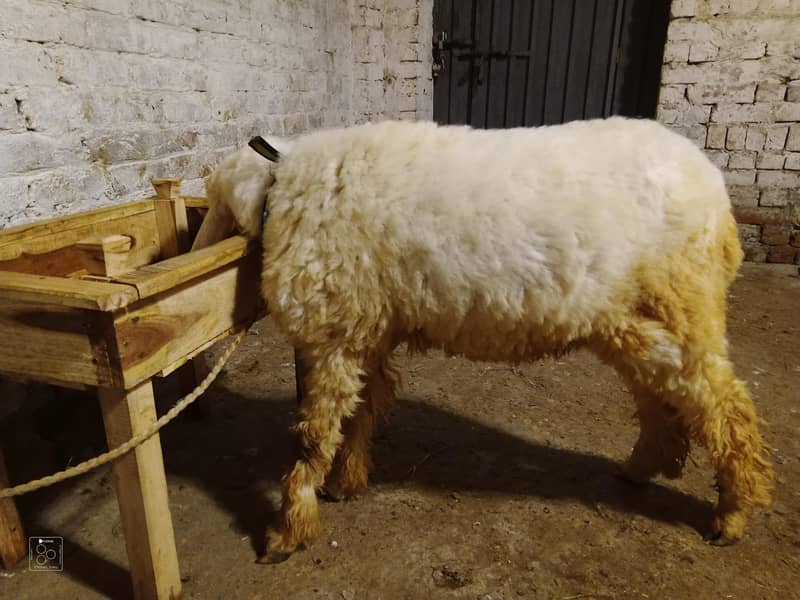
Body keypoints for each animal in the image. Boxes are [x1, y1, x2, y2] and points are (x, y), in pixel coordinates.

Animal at [196, 117, 773, 563]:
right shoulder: (368, 328)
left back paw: (732, 514)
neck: (282, 186)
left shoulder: (334, 332)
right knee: (664, 397)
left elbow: (314, 434)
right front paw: (346, 482)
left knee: (726, 405)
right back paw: (642, 468)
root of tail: (716, 192)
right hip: (632, 321)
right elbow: (364, 408)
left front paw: (288, 529)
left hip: (686, 306)